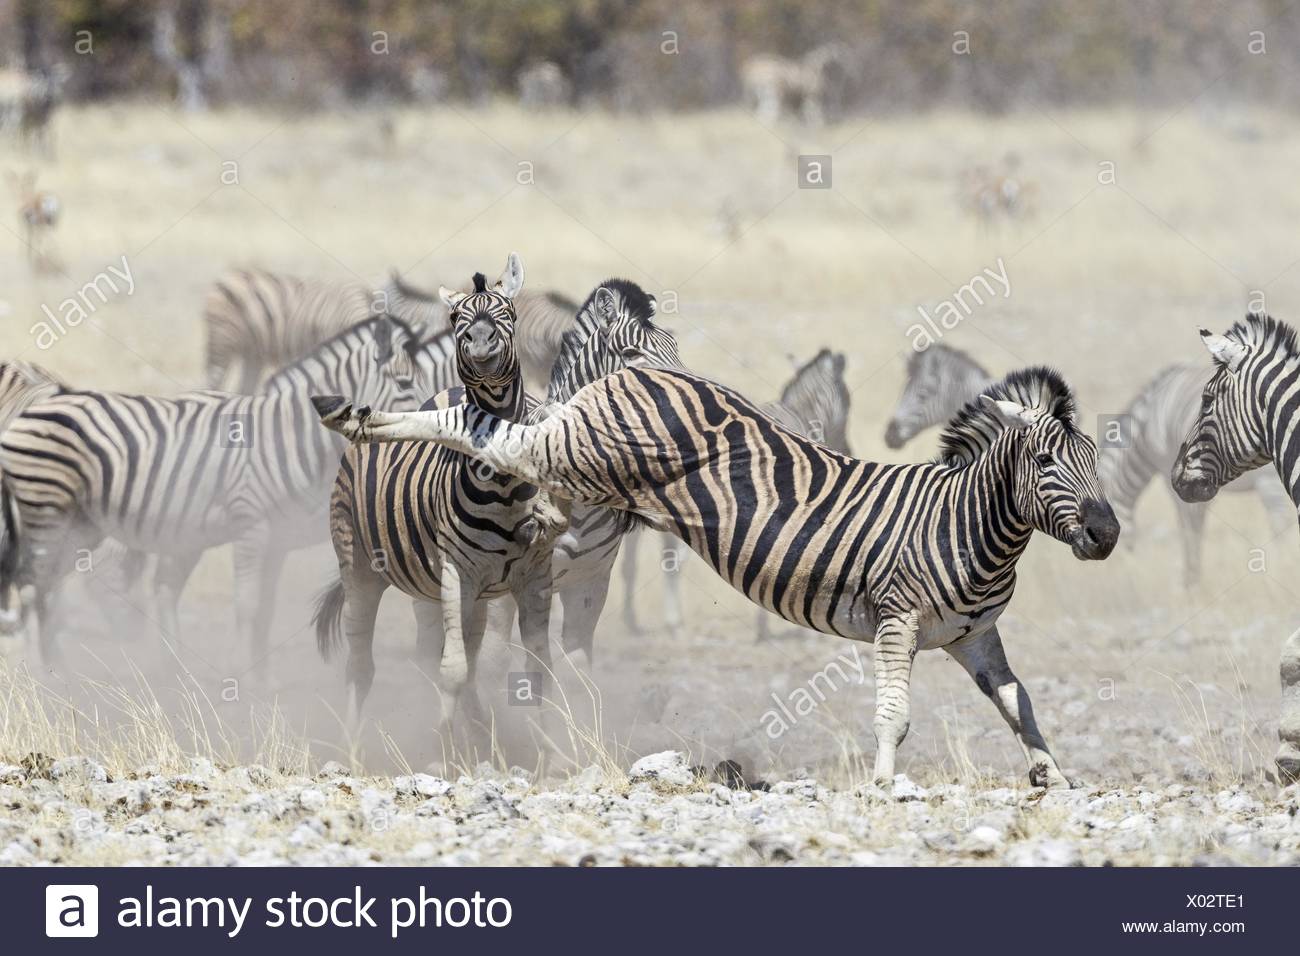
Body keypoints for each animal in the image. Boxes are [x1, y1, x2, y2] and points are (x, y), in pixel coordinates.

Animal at [0, 314, 447, 669]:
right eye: (405, 382)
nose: (432, 427)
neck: (285, 434)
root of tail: (32, 404)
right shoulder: (252, 523)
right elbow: (247, 606)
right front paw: (244, 678)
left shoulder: (276, 536)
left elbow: (264, 608)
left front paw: (263, 678)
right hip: (45, 510)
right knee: (32, 585)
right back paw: (41, 670)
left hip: (78, 522)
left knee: (49, 587)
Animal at [312, 254, 566, 746]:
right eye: (455, 319)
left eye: (510, 312)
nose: (481, 343)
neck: (502, 490)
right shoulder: (455, 573)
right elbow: (453, 671)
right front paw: (444, 749)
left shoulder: (533, 577)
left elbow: (537, 669)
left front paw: (550, 751)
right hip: (359, 567)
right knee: (363, 664)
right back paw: (353, 747)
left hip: (454, 593)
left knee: (454, 651)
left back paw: (481, 731)